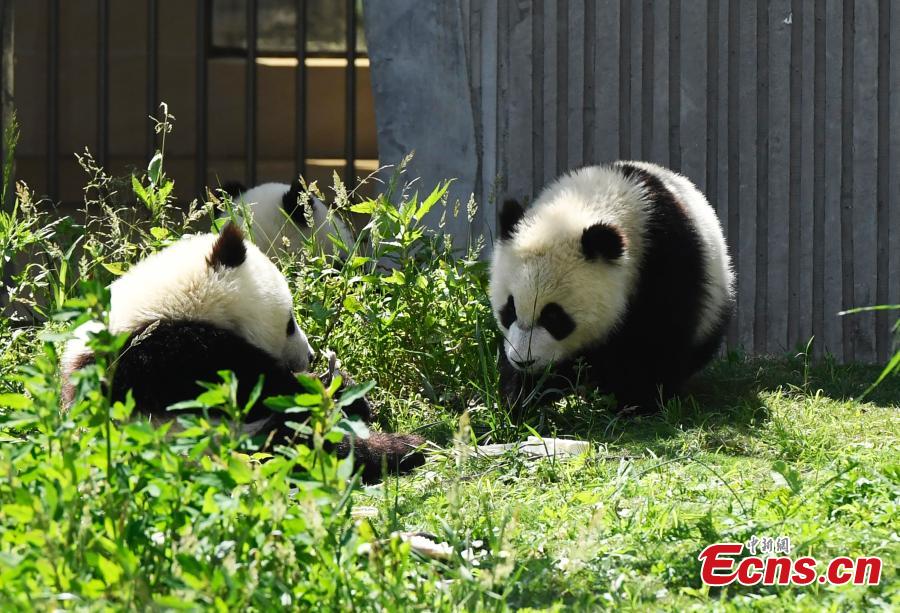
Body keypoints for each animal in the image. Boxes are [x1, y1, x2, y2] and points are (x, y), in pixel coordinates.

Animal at [61, 222, 424, 480]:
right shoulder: (166, 356)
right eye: (289, 322)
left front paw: (345, 386)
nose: (310, 356)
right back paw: (404, 447)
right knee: (305, 442)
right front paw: (324, 386)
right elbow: (258, 386)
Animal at [488, 161, 736, 412]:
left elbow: (657, 337)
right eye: (509, 310)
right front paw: (521, 395)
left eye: (554, 317)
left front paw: (638, 401)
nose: (523, 360)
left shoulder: (665, 262)